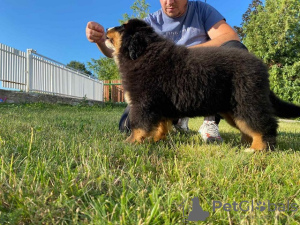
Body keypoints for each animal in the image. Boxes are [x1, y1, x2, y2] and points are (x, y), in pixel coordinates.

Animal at [105, 18, 300, 151]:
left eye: (121, 27)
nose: (107, 28)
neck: (144, 53)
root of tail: (261, 66)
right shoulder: (158, 105)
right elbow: (161, 125)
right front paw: (156, 140)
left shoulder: (143, 102)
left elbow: (139, 126)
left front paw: (130, 143)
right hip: (233, 109)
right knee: (248, 127)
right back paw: (244, 144)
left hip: (248, 101)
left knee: (264, 124)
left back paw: (257, 149)